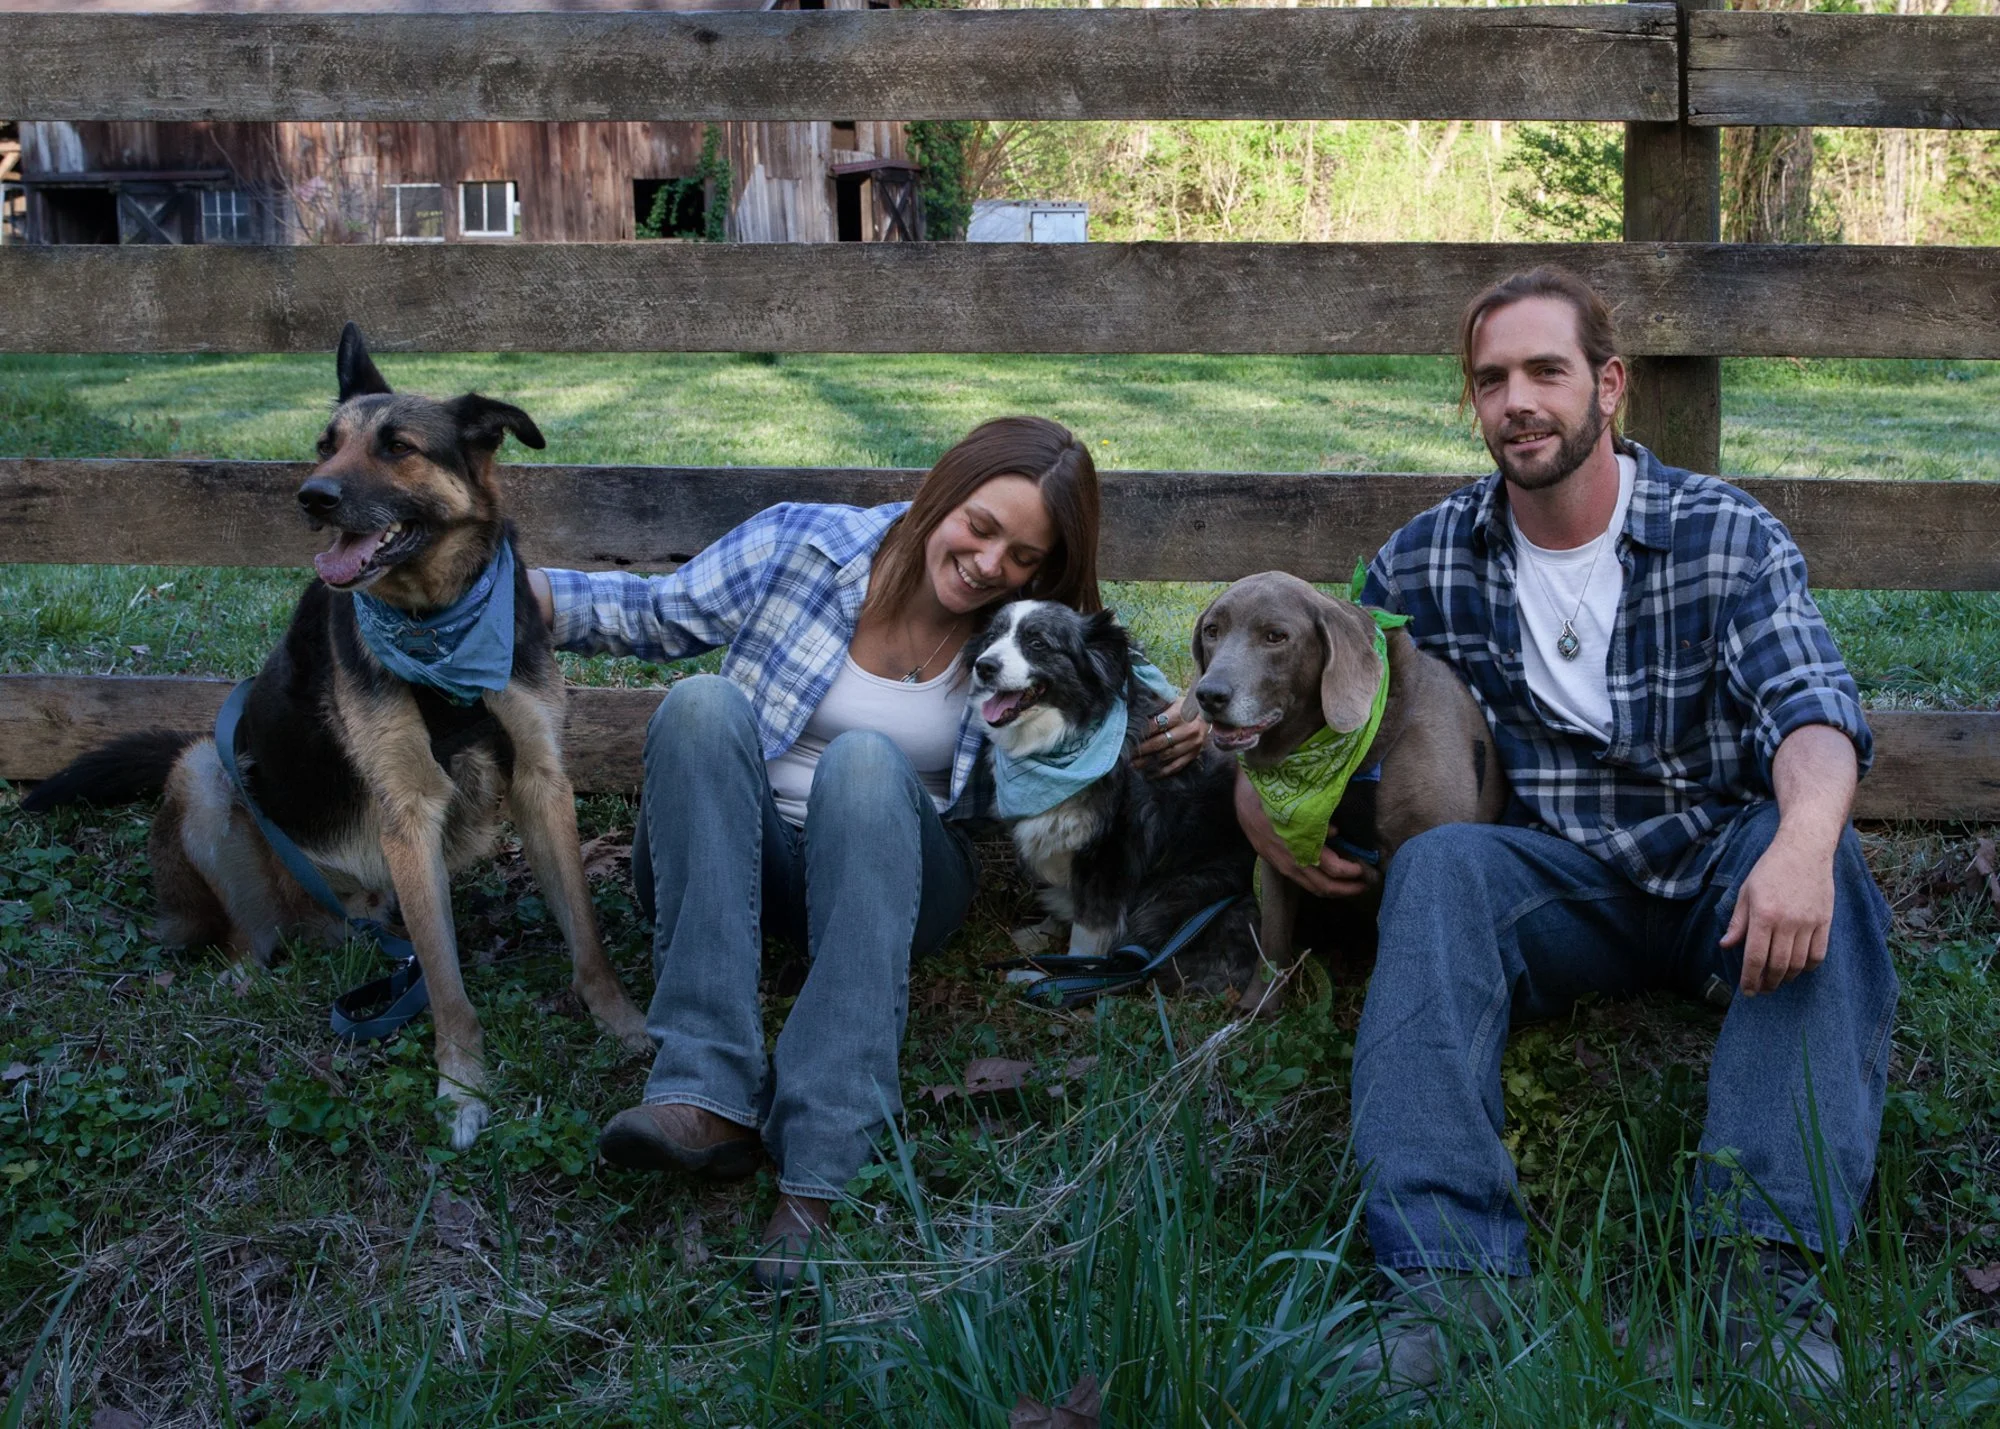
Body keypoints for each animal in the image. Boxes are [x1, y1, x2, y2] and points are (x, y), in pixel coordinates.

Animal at [23, 323, 649, 1147]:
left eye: (398, 447)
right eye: (325, 445)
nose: (311, 498)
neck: (435, 623)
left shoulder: (541, 781)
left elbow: (587, 937)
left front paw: (626, 1026)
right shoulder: (409, 811)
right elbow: (446, 984)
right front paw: (462, 1087)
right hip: (203, 775)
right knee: (247, 938)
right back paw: (242, 976)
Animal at [966, 600, 1257, 996]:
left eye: (1038, 643)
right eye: (992, 636)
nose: (983, 666)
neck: (1065, 742)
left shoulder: (1110, 855)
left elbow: (1088, 931)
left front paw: (1068, 979)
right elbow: (1069, 900)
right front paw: (1043, 933)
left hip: (1177, 897)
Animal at [1191, 571, 1507, 1013]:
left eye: (1276, 636)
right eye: (1212, 630)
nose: (1210, 695)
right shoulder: (1276, 856)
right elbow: (1272, 940)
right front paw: (1259, 1008)